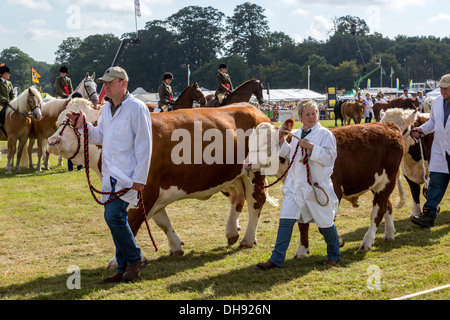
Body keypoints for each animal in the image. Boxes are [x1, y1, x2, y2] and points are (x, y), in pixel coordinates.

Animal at [47, 99, 276, 264]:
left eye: (84, 122)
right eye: (58, 122)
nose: (52, 141)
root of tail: (254, 109)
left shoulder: (145, 189)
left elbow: (131, 222)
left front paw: (117, 261)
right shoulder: (153, 191)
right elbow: (162, 221)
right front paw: (175, 246)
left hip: (255, 172)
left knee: (256, 201)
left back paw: (247, 239)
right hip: (232, 176)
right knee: (238, 198)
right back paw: (231, 232)